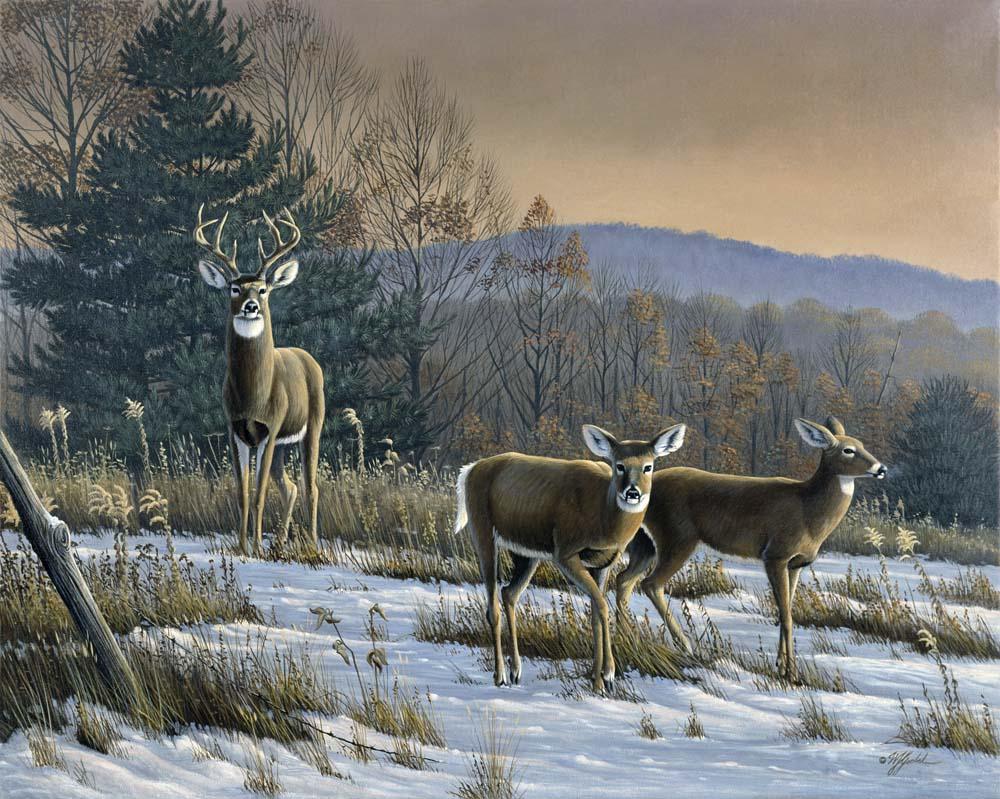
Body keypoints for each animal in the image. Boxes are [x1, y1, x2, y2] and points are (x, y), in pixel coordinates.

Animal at [194, 204, 325, 556]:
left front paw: (255, 547)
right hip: (281, 445)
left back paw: (313, 544)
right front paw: (242, 547)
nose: (251, 306)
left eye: (263, 289)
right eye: (234, 288)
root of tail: (308, 358)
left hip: (313, 426)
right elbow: (242, 493)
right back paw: (280, 540)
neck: (254, 396)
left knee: (311, 486)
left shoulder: (270, 426)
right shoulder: (235, 428)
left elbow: (260, 493)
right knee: (291, 486)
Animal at [454, 423, 686, 695]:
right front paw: (607, 675)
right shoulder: (565, 552)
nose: (632, 492)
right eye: (619, 465)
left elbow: (596, 611)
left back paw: (516, 672)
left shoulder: (604, 563)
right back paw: (500, 676)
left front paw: (600, 680)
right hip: (482, 528)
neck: (603, 520)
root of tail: (469, 470)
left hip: (526, 553)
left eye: (648, 466)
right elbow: (602, 605)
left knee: (509, 593)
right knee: (492, 606)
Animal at [614, 416, 885, 681]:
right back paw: (686, 646)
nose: (881, 469)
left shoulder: (795, 564)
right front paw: (791, 673)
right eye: (848, 450)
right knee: (651, 584)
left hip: (645, 543)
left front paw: (780, 665)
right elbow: (786, 616)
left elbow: (786, 610)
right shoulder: (775, 554)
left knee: (624, 579)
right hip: (677, 537)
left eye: (862, 445)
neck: (808, 510)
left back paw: (627, 637)